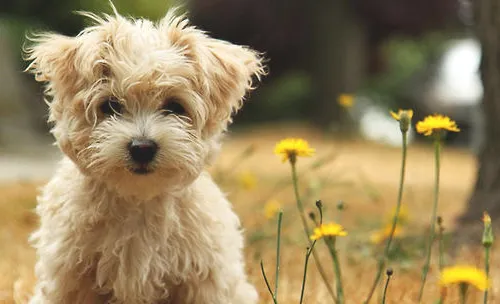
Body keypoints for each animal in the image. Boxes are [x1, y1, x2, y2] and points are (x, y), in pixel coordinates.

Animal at [24, 7, 266, 304]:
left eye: (174, 106)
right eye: (111, 106)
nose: (142, 147)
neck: (138, 200)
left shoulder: (205, 278)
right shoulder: (68, 276)